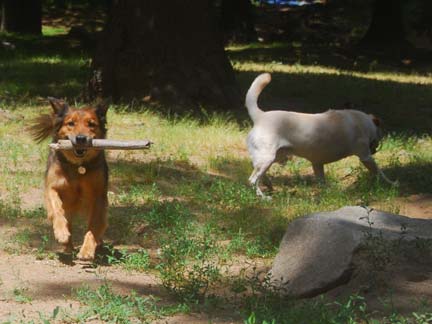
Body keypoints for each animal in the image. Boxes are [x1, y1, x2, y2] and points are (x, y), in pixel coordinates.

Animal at [29, 97, 109, 260]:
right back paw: (67, 246)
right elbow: (57, 210)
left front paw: (87, 249)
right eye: (71, 123)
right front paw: (61, 233)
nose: (81, 138)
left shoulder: (98, 195)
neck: (78, 166)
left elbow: (94, 225)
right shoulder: (52, 187)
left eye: (91, 124)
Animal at [245, 72, 396, 197]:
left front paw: (327, 193)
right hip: (267, 158)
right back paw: (263, 197)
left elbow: (322, 181)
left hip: (276, 157)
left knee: (259, 174)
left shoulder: (317, 164)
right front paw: (392, 184)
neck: (362, 122)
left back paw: (269, 186)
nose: (375, 149)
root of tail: (260, 116)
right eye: (379, 136)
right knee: (252, 180)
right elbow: (379, 172)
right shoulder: (366, 157)